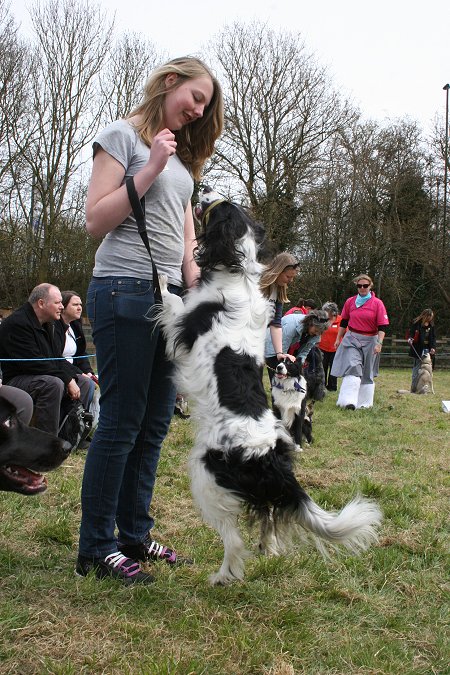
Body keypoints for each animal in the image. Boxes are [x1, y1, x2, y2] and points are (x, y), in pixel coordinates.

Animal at [156, 186, 382, 588]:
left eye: (218, 206)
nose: (203, 187)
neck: (237, 271)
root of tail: (270, 457)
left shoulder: (181, 323)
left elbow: (170, 299)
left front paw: (161, 277)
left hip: (206, 476)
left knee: (233, 539)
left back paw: (223, 576)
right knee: (269, 514)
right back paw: (269, 548)